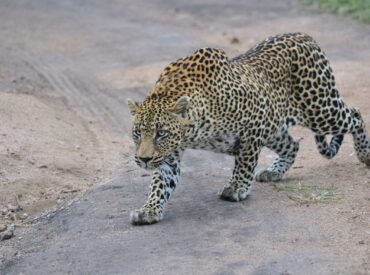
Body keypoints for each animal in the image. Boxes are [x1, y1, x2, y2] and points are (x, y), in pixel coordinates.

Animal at [127, 33, 370, 226]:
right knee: (292, 144)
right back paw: (274, 171)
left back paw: (365, 154)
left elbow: (245, 161)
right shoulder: (170, 154)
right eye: (137, 133)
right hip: (276, 127)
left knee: (355, 114)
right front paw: (149, 210)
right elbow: (160, 183)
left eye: (161, 134)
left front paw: (236, 187)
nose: (144, 160)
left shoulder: (254, 123)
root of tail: (305, 36)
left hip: (320, 110)